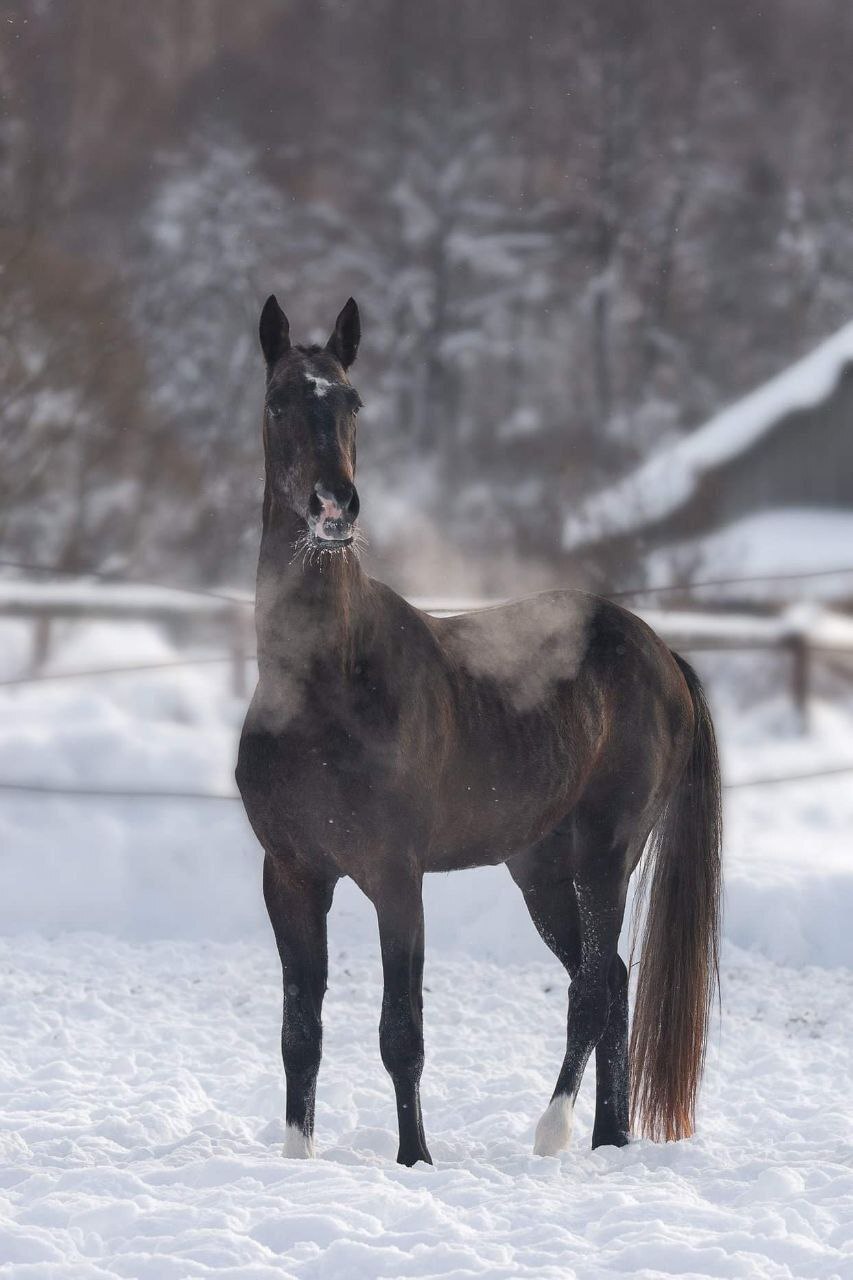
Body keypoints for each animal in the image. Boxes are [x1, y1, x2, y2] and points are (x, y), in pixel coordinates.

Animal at [234, 294, 717, 1167]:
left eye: (352, 402)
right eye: (279, 400)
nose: (334, 509)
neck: (326, 686)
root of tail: (659, 653)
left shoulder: (396, 878)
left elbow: (401, 1034)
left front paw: (414, 1160)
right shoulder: (290, 875)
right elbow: (300, 1033)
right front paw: (297, 1160)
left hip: (605, 855)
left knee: (593, 988)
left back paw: (556, 1131)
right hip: (539, 872)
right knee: (613, 981)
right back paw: (609, 1139)